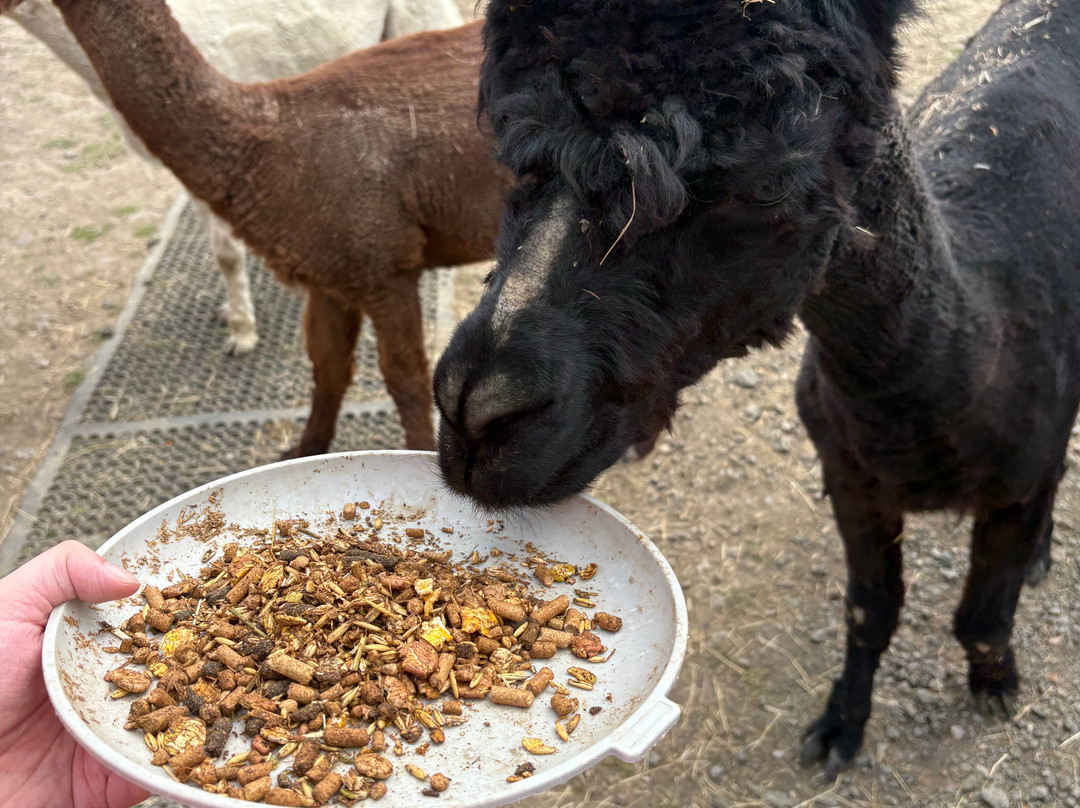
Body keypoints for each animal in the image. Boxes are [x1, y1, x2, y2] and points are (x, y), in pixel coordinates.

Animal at [432, 0, 1080, 775]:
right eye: (512, 154)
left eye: (767, 187)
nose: (476, 413)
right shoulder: (852, 476)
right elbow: (869, 611)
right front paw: (839, 725)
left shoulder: (1012, 480)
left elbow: (982, 618)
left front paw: (995, 683)